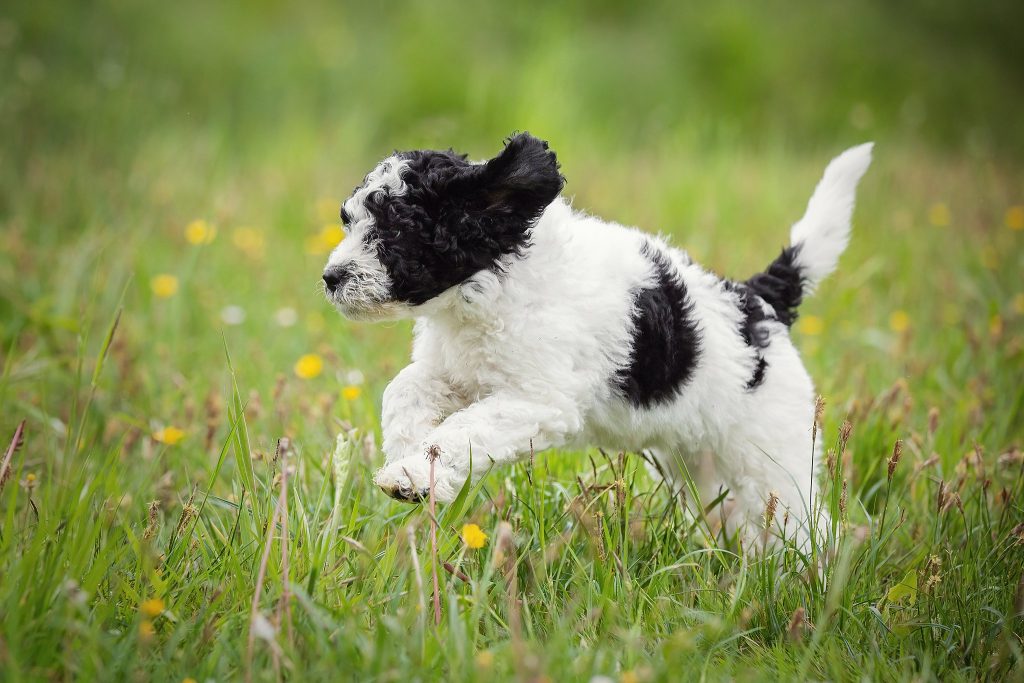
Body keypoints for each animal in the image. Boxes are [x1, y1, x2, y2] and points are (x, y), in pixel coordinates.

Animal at [322, 133, 872, 549]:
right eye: (349, 221)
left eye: (396, 234)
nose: (330, 277)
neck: (490, 285)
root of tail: (756, 302)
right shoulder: (459, 372)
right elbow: (406, 389)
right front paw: (406, 459)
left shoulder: (538, 401)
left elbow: (465, 430)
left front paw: (416, 469)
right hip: (700, 464)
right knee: (738, 518)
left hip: (773, 453)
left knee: (804, 526)